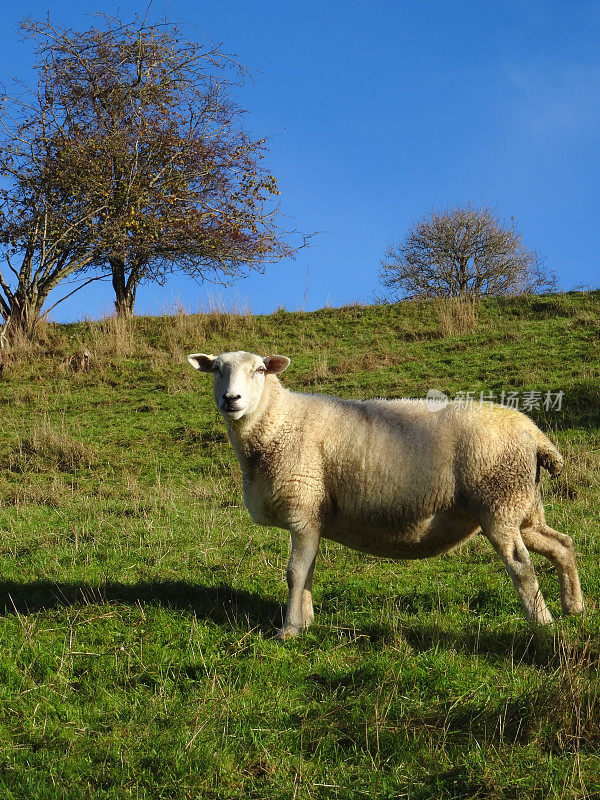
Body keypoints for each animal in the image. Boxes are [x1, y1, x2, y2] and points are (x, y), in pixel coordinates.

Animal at [186, 350, 580, 636]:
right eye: (216, 368)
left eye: (259, 370)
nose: (231, 398)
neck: (279, 423)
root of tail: (534, 433)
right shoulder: (312, 516)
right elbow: (307, 571)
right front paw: (307, 621)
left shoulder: (303, 506)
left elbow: (294, 572)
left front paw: (290, 630)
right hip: (522, 506)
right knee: (562, 544)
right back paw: (574, 609)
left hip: (499, 502)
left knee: (521, 565)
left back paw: (542, 624)